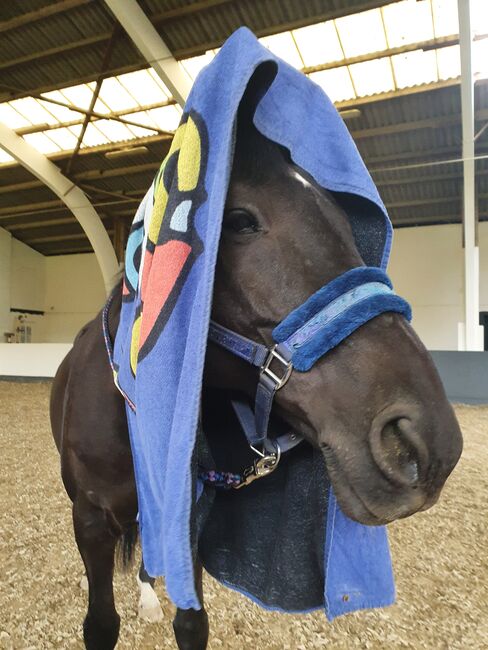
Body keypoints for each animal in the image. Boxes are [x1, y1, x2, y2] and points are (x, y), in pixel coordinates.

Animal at [51, 81, 464, 648]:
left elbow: (191, 622)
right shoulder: (90, 520)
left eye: (349, 224)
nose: (426, 441)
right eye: (239, 221)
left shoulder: (188, 519)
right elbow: (100, 623)